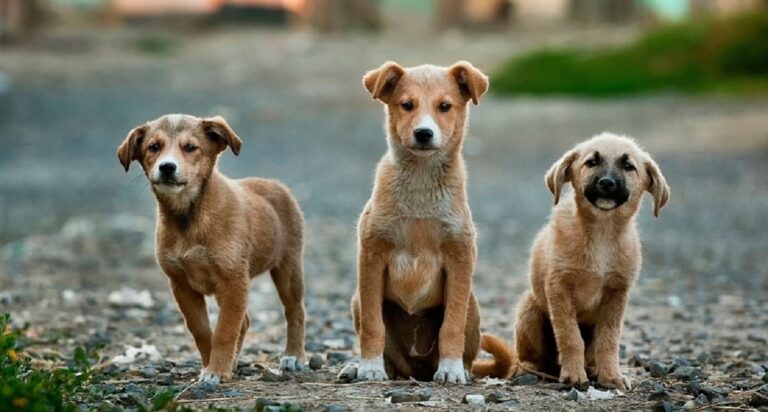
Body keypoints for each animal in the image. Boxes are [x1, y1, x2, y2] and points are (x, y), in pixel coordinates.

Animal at [117, 113, 306, 384]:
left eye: (190, 147)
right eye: (154, 147)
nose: (167, 167)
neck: (189, 217)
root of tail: (274, 184)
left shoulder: (233, 280)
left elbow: (225, 330)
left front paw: (216, 370)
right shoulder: (181, 284)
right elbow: (203, 331)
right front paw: (211, 366)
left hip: (288, 268)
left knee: (295, 311)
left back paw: (294, 356)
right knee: (245, 321)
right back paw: (234, 362)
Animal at [348, 60, 510, 384]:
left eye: (444, 106)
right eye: (407, 105)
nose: (424, 133)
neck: (421, 185)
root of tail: (417, 370)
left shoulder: (460, 256)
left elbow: (452, 325)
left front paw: (450, 369)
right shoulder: (371, 254)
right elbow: (373, 325)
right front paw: (369, 367)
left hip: (473, 304)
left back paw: (460, 369)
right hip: (357, 299)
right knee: (391, 359)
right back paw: (359, 368)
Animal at [476, 133, 668, 390]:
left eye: (629, 166)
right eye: (591, 162)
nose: (607, 183)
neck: (602, 233)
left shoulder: (616, 294)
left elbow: (609, 340)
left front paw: (611, 376)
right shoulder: (559, 288)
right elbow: (570, 337)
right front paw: (574, 375)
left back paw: (593, 369)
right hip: (530, 309)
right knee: (529, 357)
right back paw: (529, 369)